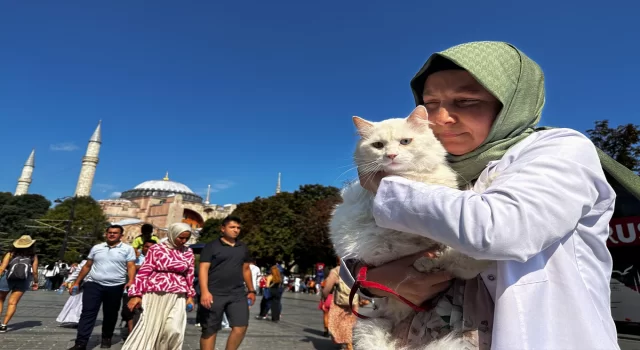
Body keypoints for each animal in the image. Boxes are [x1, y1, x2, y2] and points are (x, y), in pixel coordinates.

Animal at [332, 105, 492, 348]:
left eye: (405, 142)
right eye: (378, 145)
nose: (390, 155)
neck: (411, 177)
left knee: (459, 264)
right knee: (455, 263)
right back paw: (427, 263)